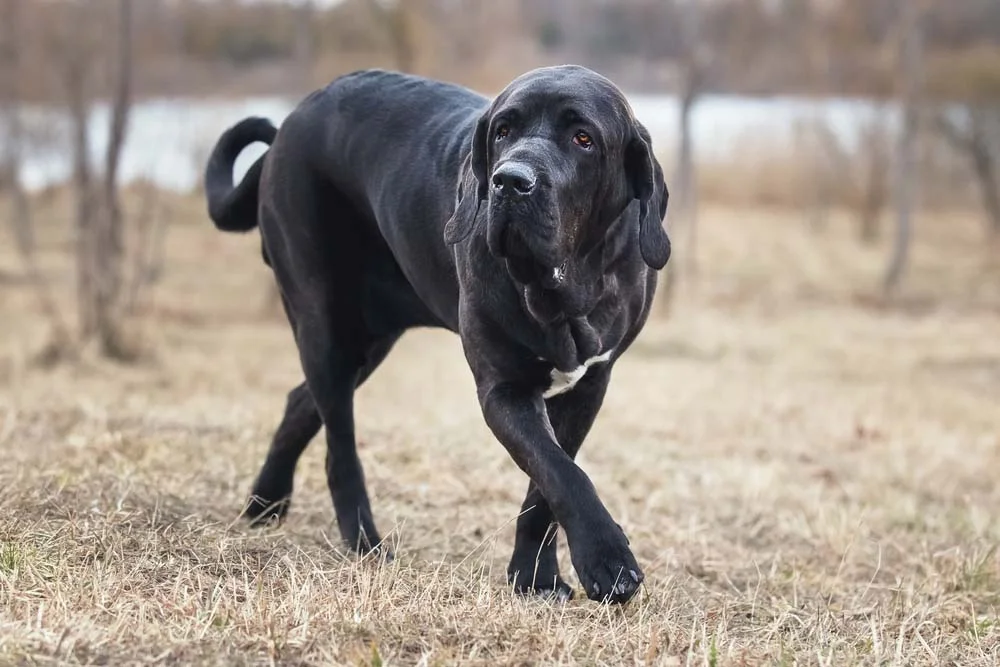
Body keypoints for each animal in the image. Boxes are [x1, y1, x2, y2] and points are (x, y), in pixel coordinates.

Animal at [203, 66, 672, 604]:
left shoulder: (589, 385)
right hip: (324, 322)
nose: (510, 181)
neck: (563, 288)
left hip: (369, 339)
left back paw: (266, 502)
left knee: (301, 401)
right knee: (339, 445)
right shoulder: (504, 389)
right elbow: (560, 472)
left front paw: (535, 578)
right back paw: (365, 544)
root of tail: (288, 125)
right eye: (503, 131)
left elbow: (546, 486)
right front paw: (607, 561)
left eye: (583, 138)